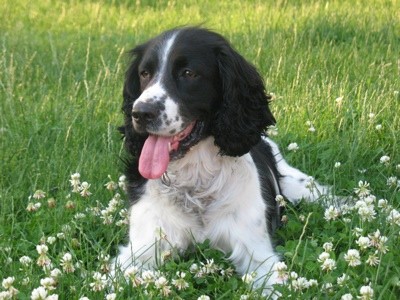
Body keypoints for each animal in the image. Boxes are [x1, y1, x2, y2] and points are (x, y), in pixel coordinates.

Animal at [113, 27, 332, 294]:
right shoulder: (141, 250)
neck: (195, 180)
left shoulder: (257, 254)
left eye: (188, 73)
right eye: (145, 73)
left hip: (301, 187)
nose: (140, 112)